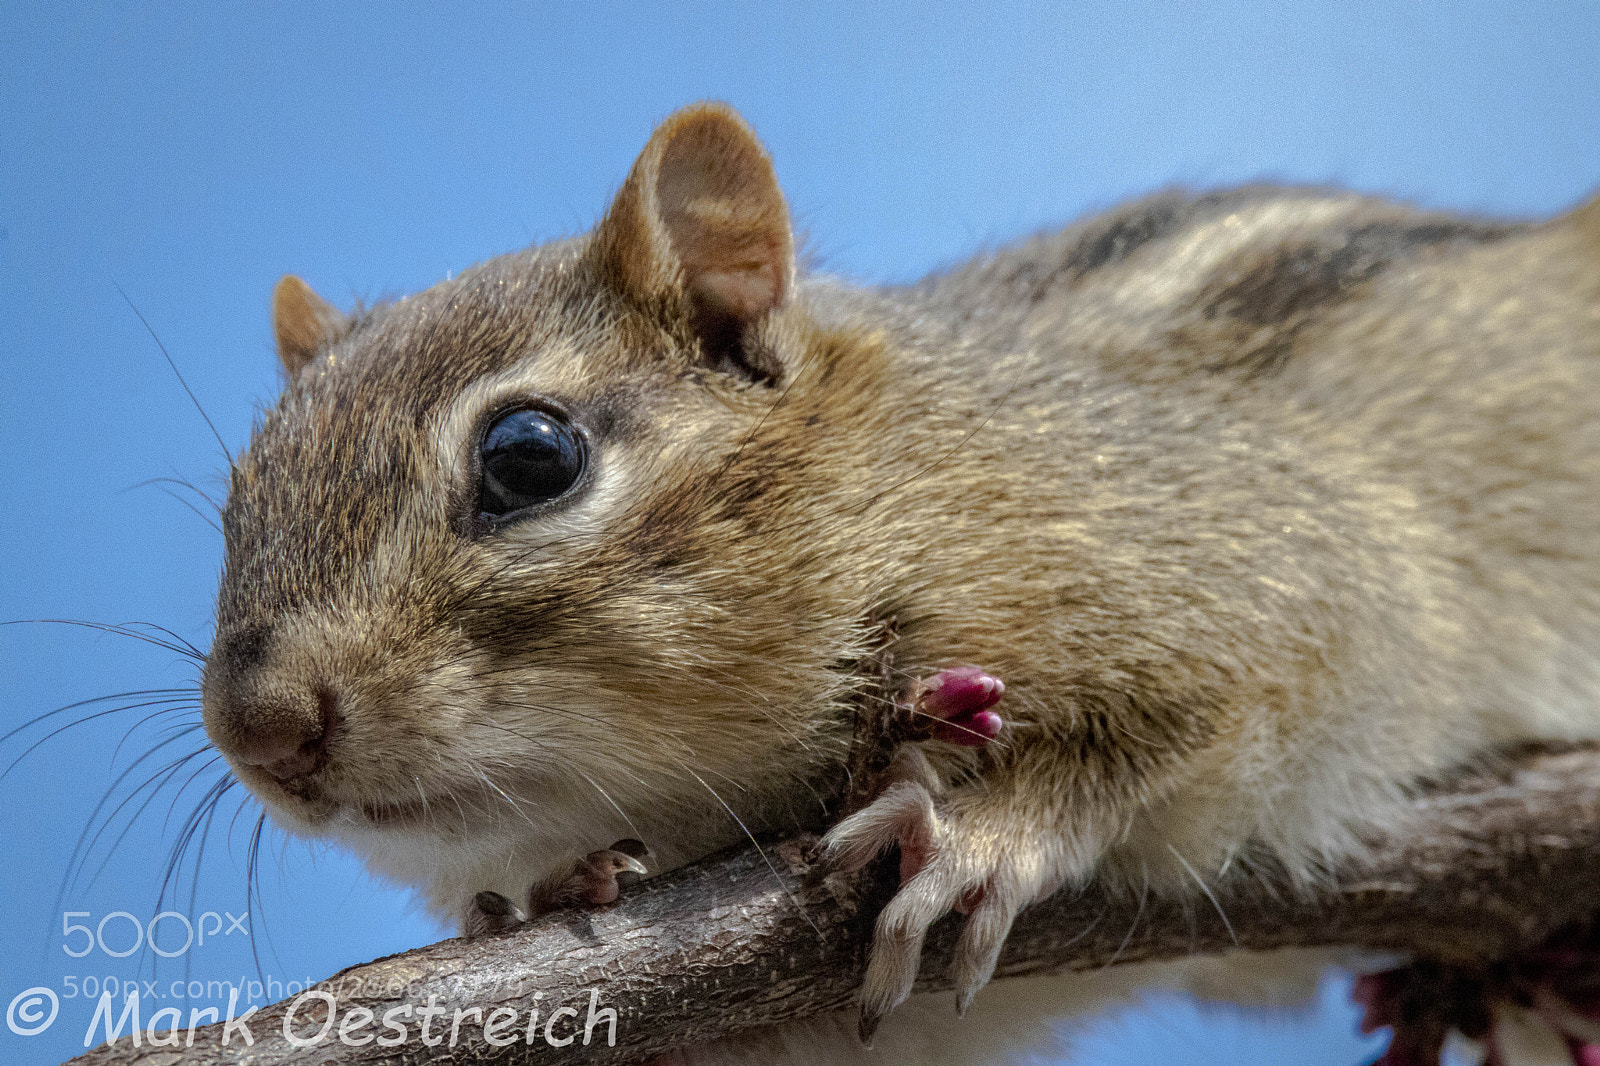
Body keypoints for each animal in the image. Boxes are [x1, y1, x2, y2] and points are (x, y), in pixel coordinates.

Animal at [199, 102, 1600, 1064]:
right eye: (235, 499)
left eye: (528, 456)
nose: (261, 730)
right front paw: (563, 890)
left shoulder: (1267, 578)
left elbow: (1164, 730)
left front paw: (982, 835)